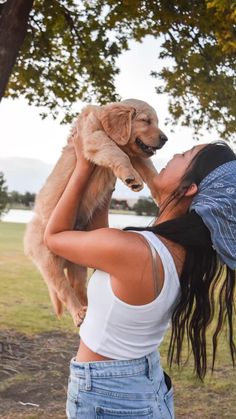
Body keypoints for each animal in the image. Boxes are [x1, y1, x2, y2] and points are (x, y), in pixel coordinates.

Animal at [24, 99, 168, 328]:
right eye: (146, 121)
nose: (165, 139)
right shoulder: (93, 137)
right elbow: (116, 152)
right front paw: (131, 177)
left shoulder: (137, 154)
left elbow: (149, 169)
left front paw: (159, 189)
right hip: (48, 261)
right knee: (62, 289)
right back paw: (78, 313)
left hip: (77, 262)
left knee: (78, 286)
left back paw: (88, 309)